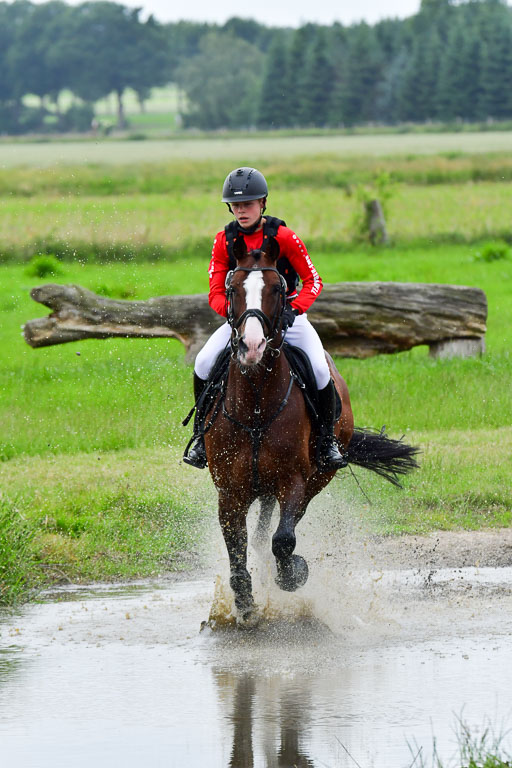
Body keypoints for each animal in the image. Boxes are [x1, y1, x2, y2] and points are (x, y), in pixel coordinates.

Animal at [200, 236, 418, 627]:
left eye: (277, 289)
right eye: (232, 288)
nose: (251, 346)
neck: (256, 406)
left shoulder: (294, 480)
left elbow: (284, 540)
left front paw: (292, 573)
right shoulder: (229, 491)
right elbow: (236, 548)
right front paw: (245, 605)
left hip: (316, 478)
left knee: (281, 528)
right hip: (261, 488)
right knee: (259, 534)